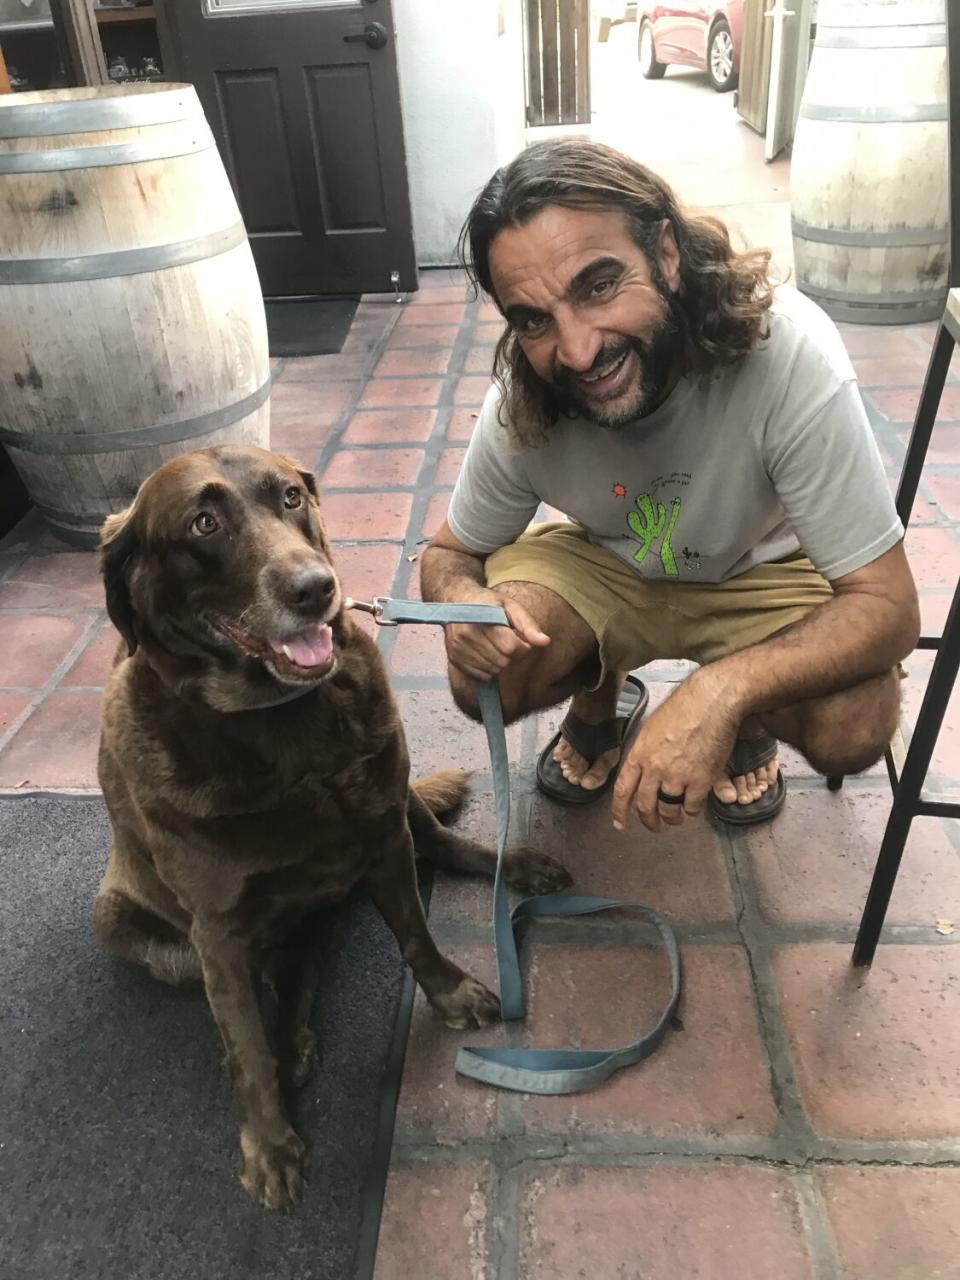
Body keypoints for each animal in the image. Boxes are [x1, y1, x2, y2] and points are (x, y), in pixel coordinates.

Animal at [94, 445, 570, 1203]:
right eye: (203, 523)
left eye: (290, 497)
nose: (315, 588)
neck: (279, 726)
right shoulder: (217, 932)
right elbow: (243, 1044)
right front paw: (269, 1143)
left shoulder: (383, 836)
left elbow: (415, 932)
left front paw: (450, 992)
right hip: (133, 928)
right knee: (281, 974)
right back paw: (289, 1046)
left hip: (395, 793)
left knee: (438, 846)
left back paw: (515, 865)